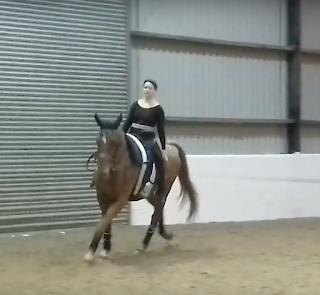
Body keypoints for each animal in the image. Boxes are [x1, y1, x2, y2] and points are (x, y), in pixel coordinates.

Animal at [83, 112, 198, 264]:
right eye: (97, 141)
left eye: (115, 143)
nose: (101, 173)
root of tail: (170, 147)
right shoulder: (102, 198)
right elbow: (106, 223)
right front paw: (105, 250)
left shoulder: (120, 200)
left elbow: (104, 222)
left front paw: (90, 252)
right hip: (150, 194)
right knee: (158, 209)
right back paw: (166, 237)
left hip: (163, 189)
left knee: (157, 213)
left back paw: (144, 245)